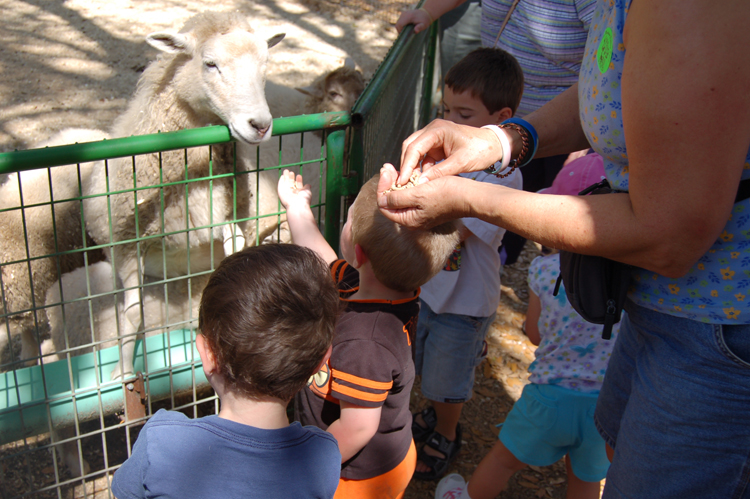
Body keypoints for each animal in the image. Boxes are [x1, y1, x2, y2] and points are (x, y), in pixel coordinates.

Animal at [82, 11, 286, 378]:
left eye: (265, 64)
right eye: (210, 63)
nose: (261, 125)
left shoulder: (225, 219)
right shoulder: (127, 245)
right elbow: (132, 315)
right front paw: (123, 371)